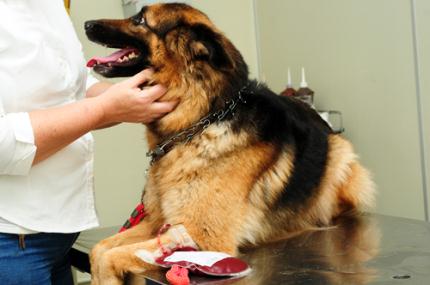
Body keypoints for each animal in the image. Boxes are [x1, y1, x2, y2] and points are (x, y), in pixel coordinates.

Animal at [85, 2, 374, 284]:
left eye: (141, 20)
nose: (87, 24)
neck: (201, 119)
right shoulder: (158, 222)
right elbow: (99, 250)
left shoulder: (201, 237)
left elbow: (109, 257)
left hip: (341, 155)